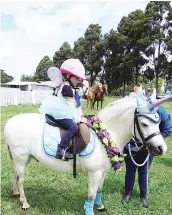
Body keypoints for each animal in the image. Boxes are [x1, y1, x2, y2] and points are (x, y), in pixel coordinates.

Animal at [4, 97, 167, 215]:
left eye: (158, 122)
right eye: (144, 124)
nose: (161, 148)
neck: (105, 134)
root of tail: (10, 122)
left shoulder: (102, 173)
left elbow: (99, 190)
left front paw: (100, 206)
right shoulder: (94, 173)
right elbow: (91, 195)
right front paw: (90, 210)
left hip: (25, 158)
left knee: (15, 175)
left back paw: (15, 193)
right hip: (21, 157)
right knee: (21, 180)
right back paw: (24, 202)